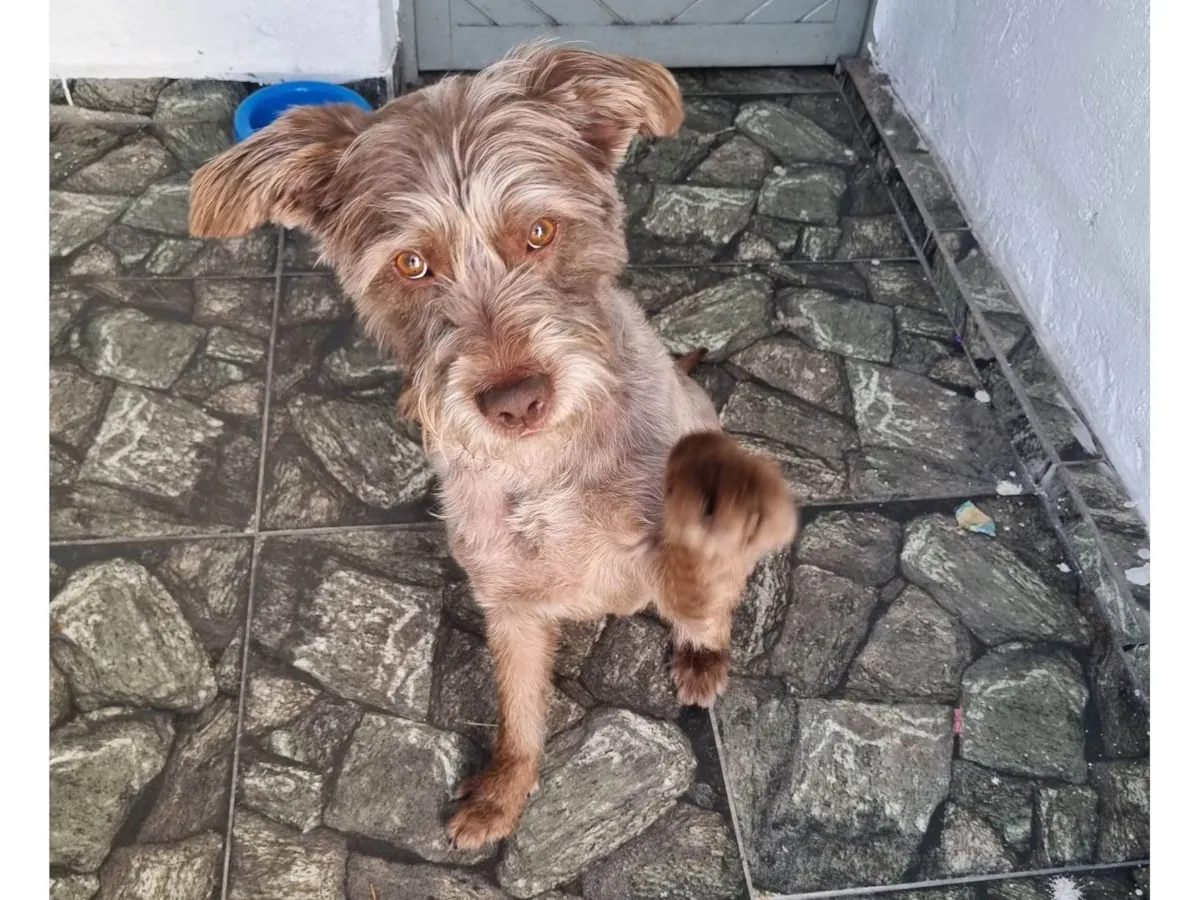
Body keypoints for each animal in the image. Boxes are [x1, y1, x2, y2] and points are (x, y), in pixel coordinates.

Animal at [189, 41, 797, 850]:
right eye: (411, 264)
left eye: (539, 232)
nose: (515, 401)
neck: (546, 463)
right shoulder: (509, 606)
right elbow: (517, 716)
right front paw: (503, 794)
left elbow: (698, 583)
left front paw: (703, 613)